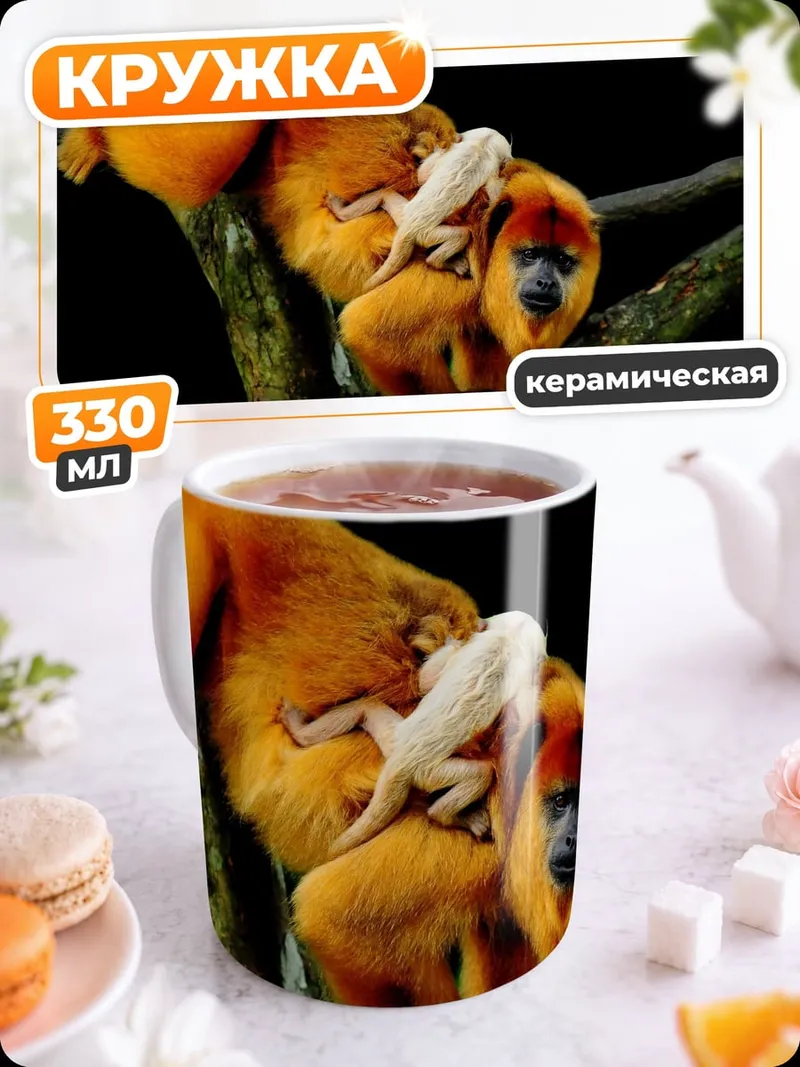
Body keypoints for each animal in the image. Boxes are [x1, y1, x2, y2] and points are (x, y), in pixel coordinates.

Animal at [281, 611, 547, 857]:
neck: (509, 638)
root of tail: (399, 763)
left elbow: (425, 682)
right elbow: (425, 681)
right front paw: (452, 641)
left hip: (397, 741)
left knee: (365, 707)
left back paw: (298, 731)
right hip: (425, 771)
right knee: (481, 773)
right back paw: (448, 816)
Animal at [325, 127, 513, 291]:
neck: (482, 144)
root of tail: (406, 230)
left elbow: (422, 176)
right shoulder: (488, 165)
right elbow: (492, 194)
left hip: (402, 214)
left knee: (385, 193)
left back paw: (338, 210)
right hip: (425, 235)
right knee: (462, 234)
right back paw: (440, 262)